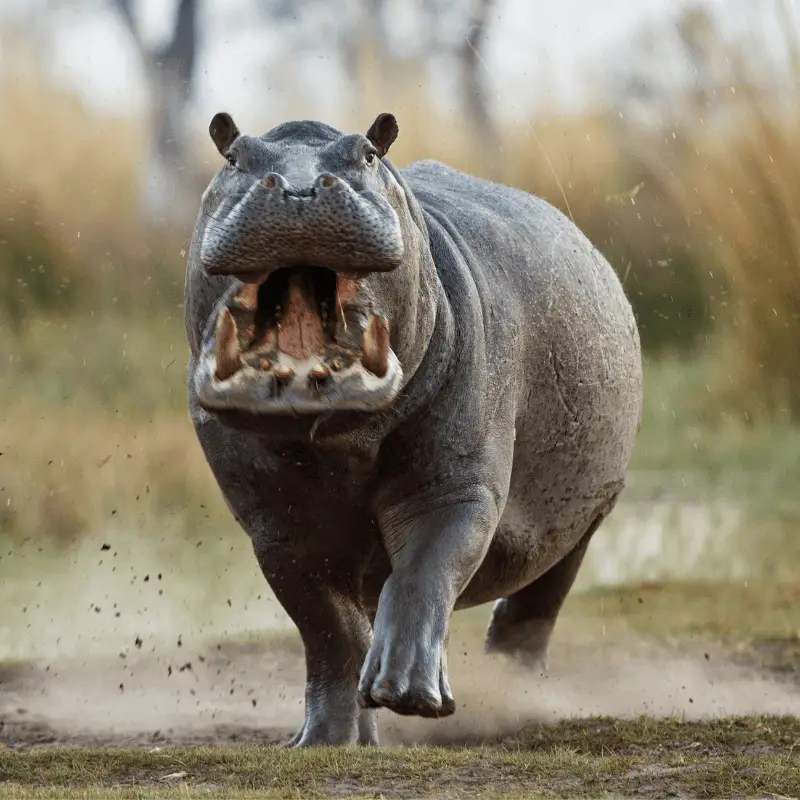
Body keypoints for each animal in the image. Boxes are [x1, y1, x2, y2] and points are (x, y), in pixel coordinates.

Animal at [183, 112, 644, 752]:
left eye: (369, 153)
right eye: (232, 154)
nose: (299, 188)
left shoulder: (453, 487)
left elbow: (423, 571)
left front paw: (407, 693)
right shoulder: (276, 526)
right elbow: (328, 629)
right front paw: (326, 740)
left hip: (586, 517)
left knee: (535, 605)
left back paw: (515, 698)